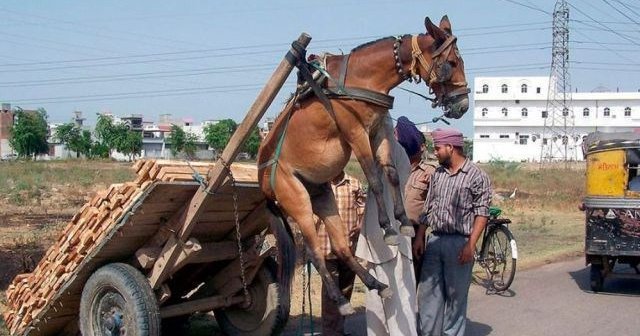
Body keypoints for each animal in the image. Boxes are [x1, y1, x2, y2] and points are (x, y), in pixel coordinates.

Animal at [256, 15, 470, 316]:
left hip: (322, 197)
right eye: (450, 62)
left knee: (341, 246)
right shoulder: (356, 133)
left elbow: (391, 174)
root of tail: (263, 181)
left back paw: (377, 285)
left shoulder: (379, 130)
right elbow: (375, 179)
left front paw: (404, 221)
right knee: (313, 252)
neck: (362, 78)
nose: (463, 104)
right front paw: (389, 229)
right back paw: (341, 300)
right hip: (297, 202)